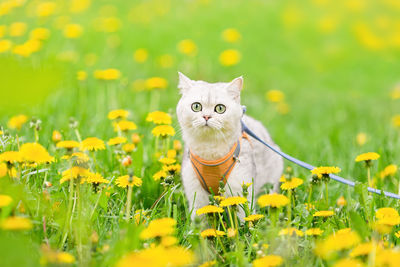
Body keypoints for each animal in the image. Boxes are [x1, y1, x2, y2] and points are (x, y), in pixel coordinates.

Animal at [176, 72, 284, 219]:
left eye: (220, 108)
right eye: (196, 106)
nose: (206, 117)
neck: (210, 150)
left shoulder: (240, 190)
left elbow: (245, 219)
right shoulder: (196, 195)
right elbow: (200, 220)